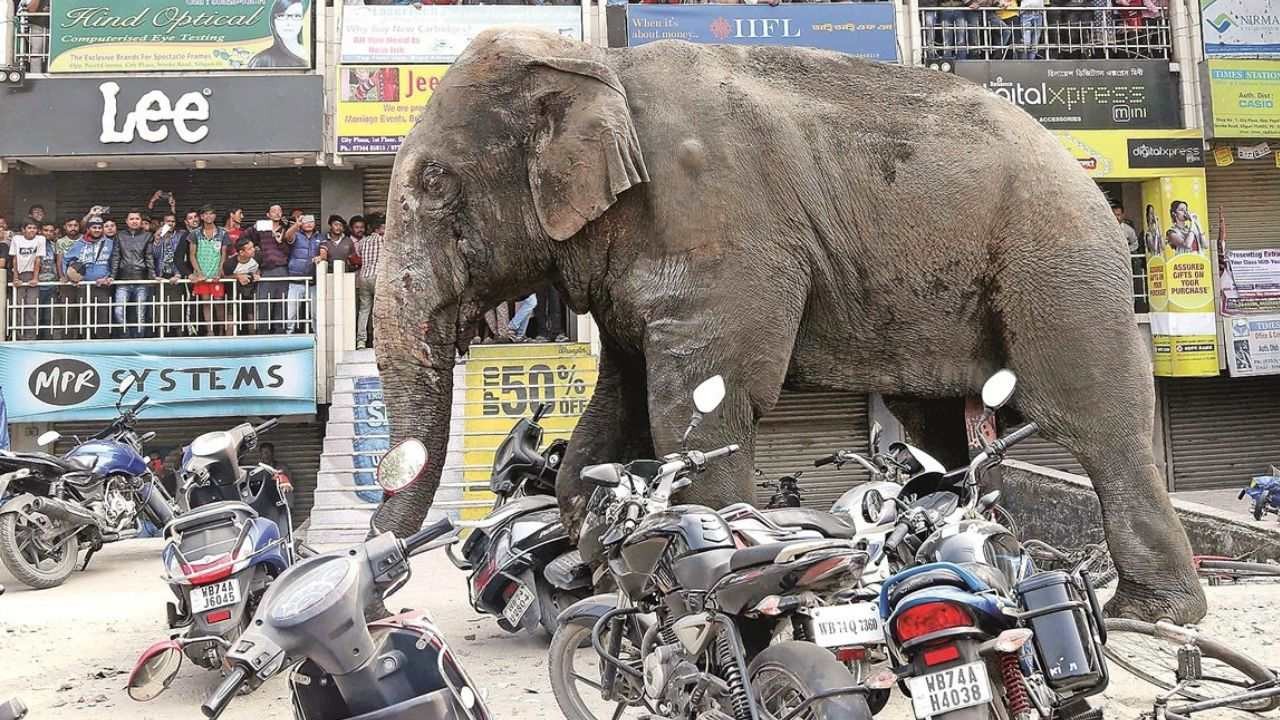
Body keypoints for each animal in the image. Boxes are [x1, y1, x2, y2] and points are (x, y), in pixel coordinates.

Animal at [371, 27, 1206, 623]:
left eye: (435, 183)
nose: (386, 574)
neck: (598, 63)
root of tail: (1080, 167)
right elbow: (614, 416)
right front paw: (595, 581)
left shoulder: (718, 226)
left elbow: (698, 406)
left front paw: (701, 591)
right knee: (931, 427)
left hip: (1057, 259)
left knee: (1092, 418)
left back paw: (1150, 615)